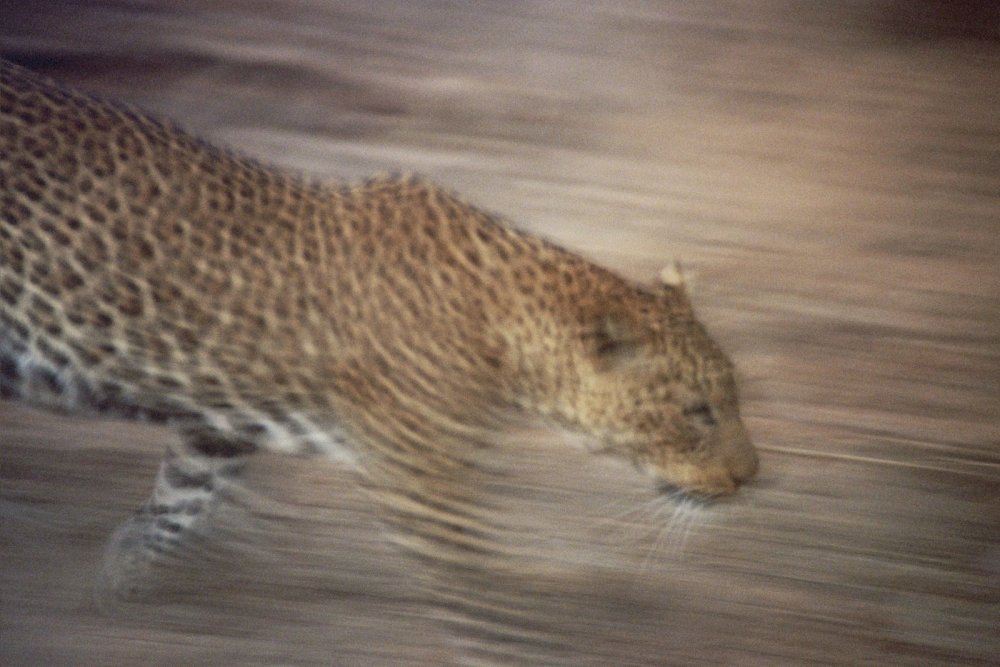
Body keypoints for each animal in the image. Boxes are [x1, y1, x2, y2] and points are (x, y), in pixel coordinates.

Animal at [0, 59, 758, 662]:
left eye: (732, 399)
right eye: (698, 411)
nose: (752, 478)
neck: (509, 330)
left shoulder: (218, 428)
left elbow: (174, 509)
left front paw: (115, 583)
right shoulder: (424, 483)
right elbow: (475, 594)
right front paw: (518, 650)